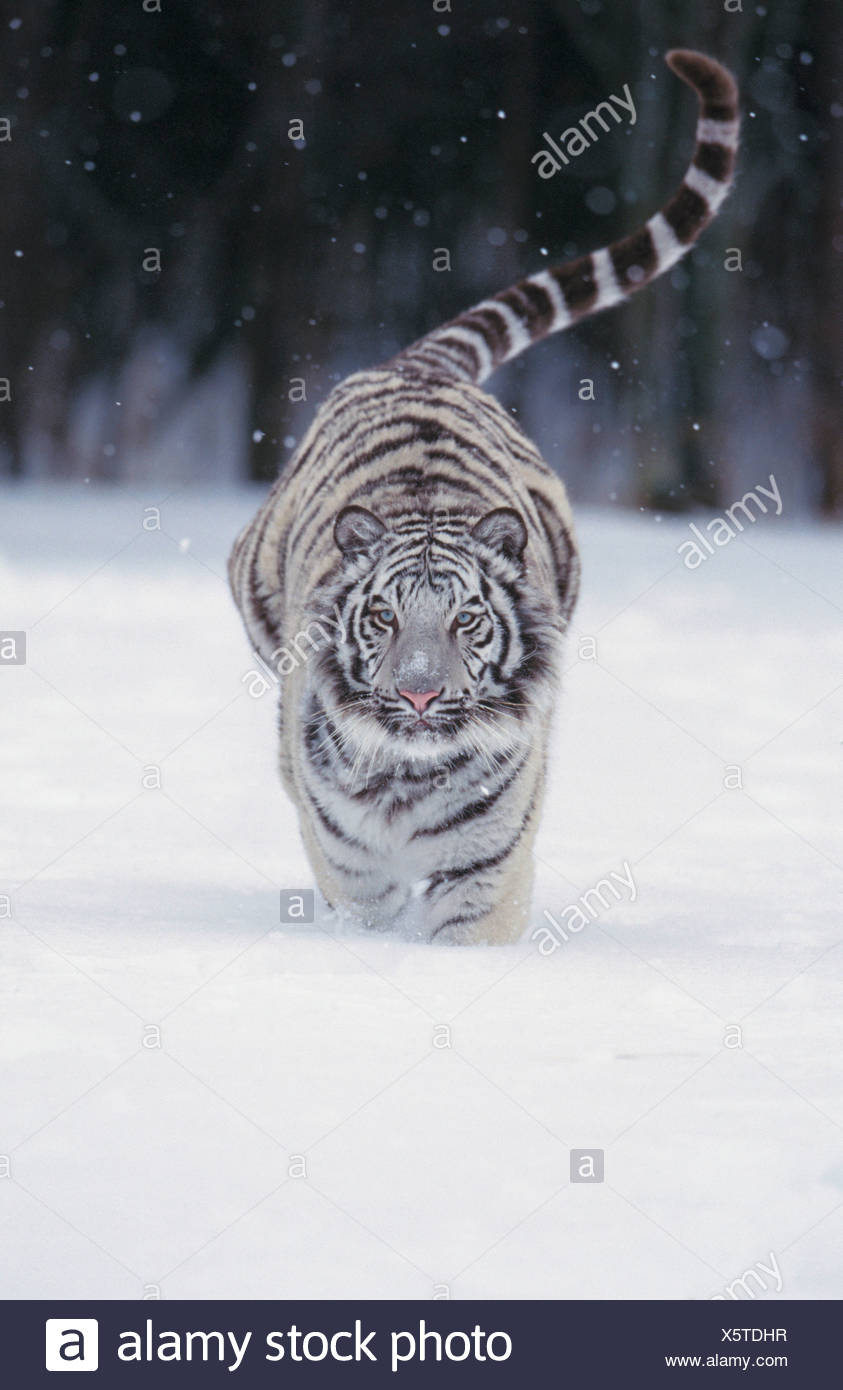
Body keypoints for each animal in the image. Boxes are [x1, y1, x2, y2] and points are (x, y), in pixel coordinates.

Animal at [229, 51, 740, 945]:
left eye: (466, 619)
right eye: (381, 617)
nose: (419, 692)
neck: (406, 773)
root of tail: (421, 366)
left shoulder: (486, 864)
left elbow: (464, 931)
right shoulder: (352, 862)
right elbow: (362, 899)